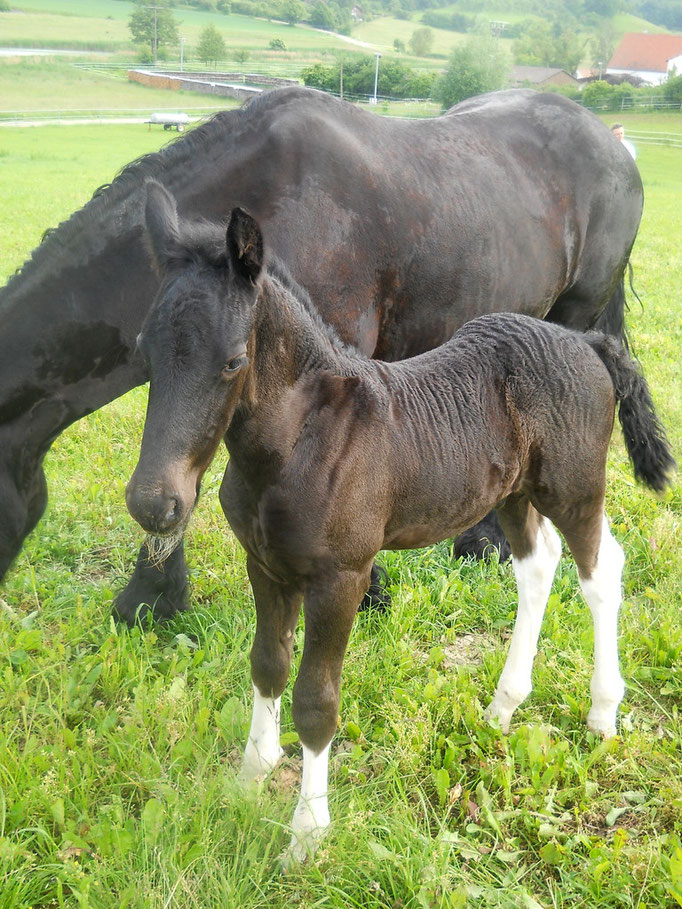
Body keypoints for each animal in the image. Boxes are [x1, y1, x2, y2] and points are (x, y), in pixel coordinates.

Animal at [125, 183, 672, 860]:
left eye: (231, 362)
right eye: (144, 352)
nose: (154, 504)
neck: (298, 441)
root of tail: (586, 342)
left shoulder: (342, 578)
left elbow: (316, 701)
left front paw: (307, 834)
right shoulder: (266, 565)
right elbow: (267, 664)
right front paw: (250, 778)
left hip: (571, 488)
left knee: (601, 573)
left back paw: (601, 713)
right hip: (513, 493)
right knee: (538, 565)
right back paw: (502, 707)